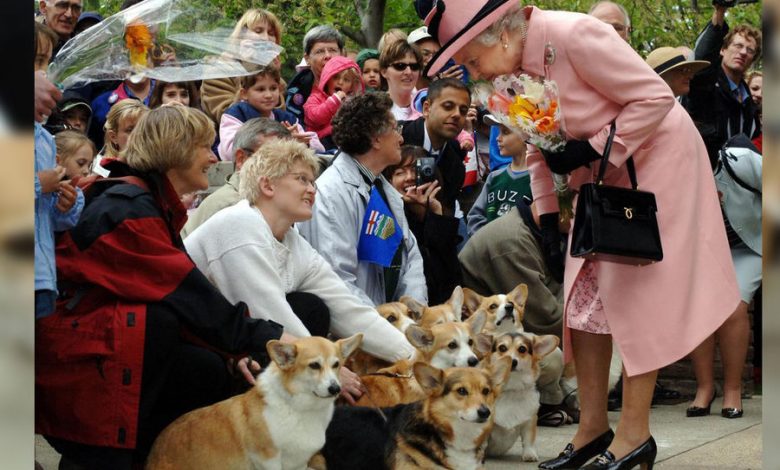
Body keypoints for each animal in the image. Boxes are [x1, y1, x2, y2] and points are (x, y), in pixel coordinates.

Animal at [146, 334, 362, 470]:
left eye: (336, 365)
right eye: (314, 365)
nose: (336, 389)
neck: (299, 409)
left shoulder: (299, 463)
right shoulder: (268, 459)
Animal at [484, 332, 556, 460]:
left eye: (522, 349)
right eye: (502, 348)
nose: (513, 361)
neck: (511, 388)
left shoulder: (530, 421)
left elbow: (528, 439)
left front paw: (529, 454)